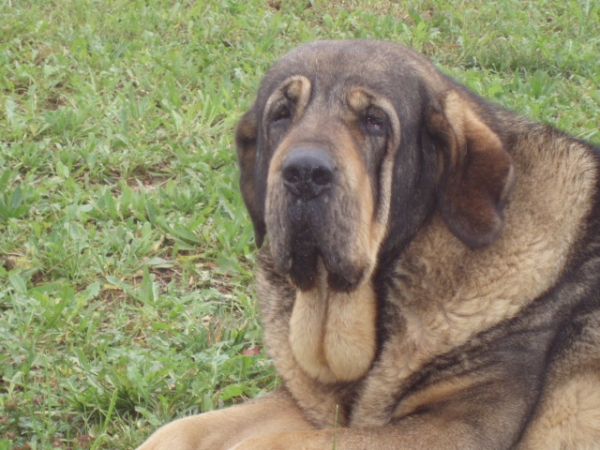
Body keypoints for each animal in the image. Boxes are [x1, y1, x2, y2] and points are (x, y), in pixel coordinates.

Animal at [138, 40, 600, 448]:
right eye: (281, 115)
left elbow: (270, 443)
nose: (304, 173)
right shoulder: (312, 405)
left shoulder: (461, 426)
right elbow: (182, 429)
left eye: (374, 121)